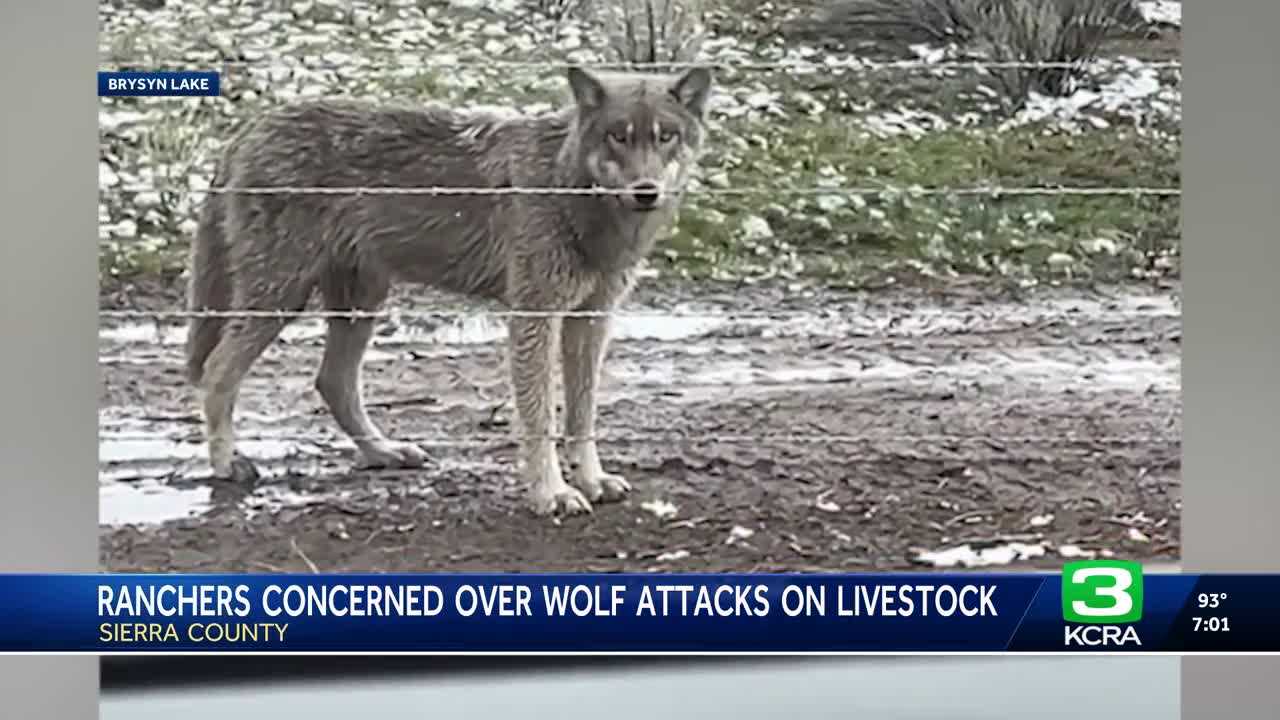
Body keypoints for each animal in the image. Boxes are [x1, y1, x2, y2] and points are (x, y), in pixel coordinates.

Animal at [183, 65, 714, 516]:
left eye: (665, 136)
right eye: (617, 136)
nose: (645, 191)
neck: (571, 192)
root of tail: (248, 129)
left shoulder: (591, 320)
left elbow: (582, 415)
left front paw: (591, 481)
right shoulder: (534, 317)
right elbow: (539, 418)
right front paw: (551, 494)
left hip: (361, 302)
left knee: (332, 382)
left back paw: (382, 451)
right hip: (283, 298)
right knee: (218, 372)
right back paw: (226, 465)